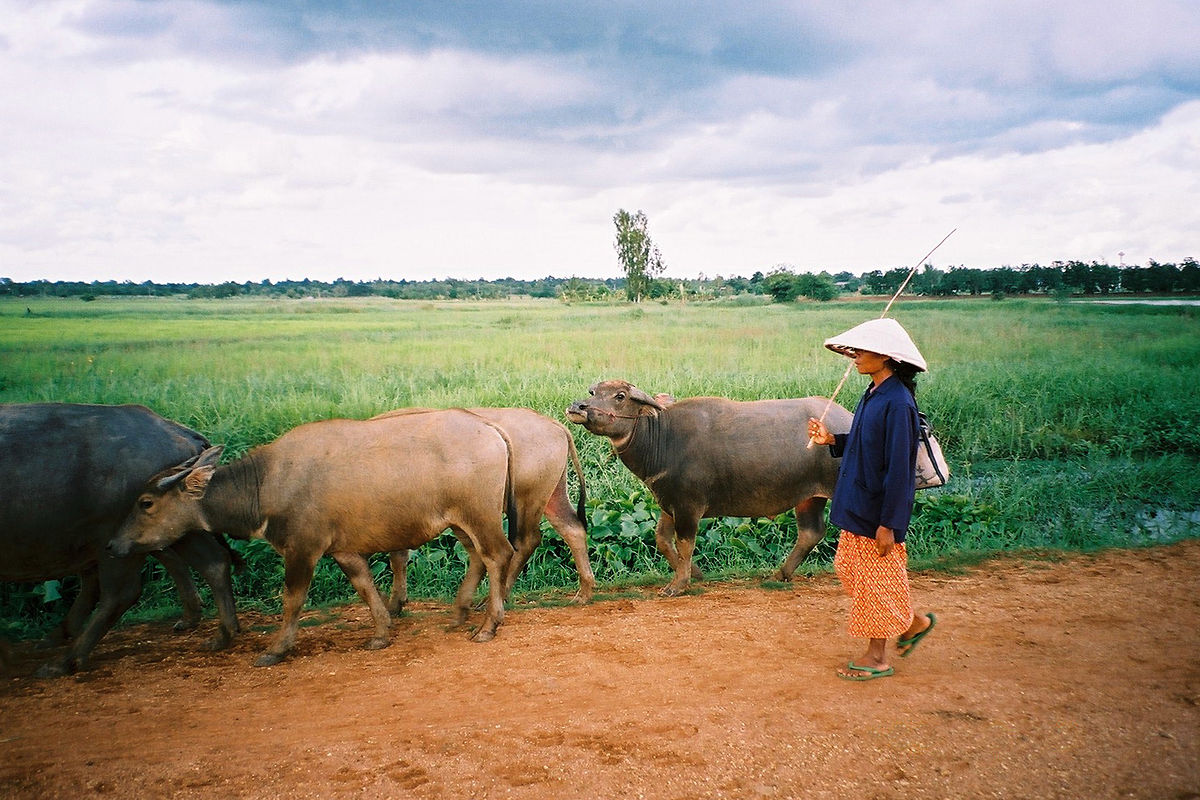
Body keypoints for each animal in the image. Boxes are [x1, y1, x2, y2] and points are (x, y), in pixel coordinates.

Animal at [0, 407, 238, 676]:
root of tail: (174, 429)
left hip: (114, 540)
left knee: (118, 592)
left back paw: (65, 660)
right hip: (173, 528)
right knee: (211, 561)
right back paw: (220, 632)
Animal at [112, 410, 520, 666]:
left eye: (146, 503)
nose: (115, 544)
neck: (268, 483)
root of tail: (491, 429)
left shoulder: (302, 549)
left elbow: (292, 600)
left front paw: (276, 649)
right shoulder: (343, 550)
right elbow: (365, 587)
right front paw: (381, 632)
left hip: (479, 515)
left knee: (498, 553)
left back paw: (488, 624)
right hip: (459, 521)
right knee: (477, 556)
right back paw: (461, 612)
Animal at [376, 410, 592, 609]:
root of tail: (554, 425)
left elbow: (397, 557)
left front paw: (394, 603)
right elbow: (399, 556)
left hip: (525, 500)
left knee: (525, 542)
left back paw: (494, 598)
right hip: (551, 495)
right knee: (571, 528)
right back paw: (584, 592)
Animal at [564, 381, 854, 594]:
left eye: (620, 396)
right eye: (594, 393)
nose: (578, 407)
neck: (663, 438)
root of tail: (847, 420)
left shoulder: (688, 506)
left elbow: (685, 543)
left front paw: (678, 584)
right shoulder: (668, 502)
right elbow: (662, 540)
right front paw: (695, 573)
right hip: (809, 497)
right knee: (811, 532)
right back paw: (780, 573)